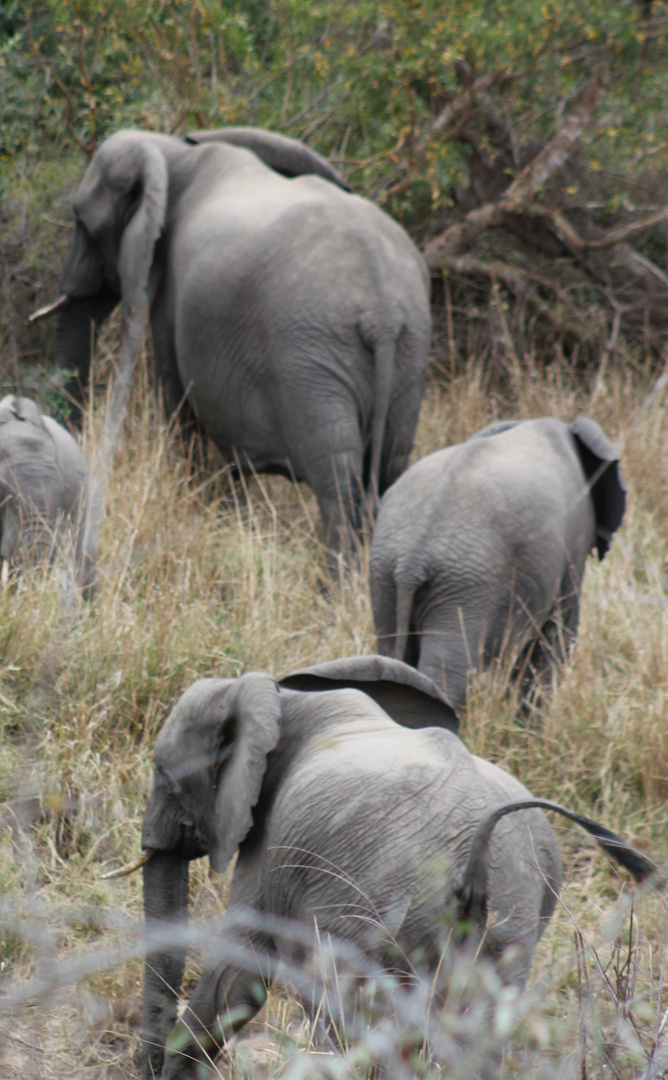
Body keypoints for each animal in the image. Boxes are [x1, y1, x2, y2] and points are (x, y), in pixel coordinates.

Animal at [41, 125, 431, 561]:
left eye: (81, 222)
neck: (172, 152)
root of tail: (382, 311)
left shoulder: (171, 291)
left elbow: (177, 400)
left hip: (311, 358)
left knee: (338, 481)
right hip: (409, 353)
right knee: (389, 469)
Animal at [104, 652, 651, 1075]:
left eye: (162, 774)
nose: (143, 1066)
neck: (283, 696)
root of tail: (475, 848)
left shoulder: (271, 841)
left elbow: (237, 972)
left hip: (385, 910)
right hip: (513, 912)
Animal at [371, 414, 625, 708]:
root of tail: (411, 559)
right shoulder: (573, 545)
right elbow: (557, 633)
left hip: (387, 576)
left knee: (391, 657)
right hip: (465, 586)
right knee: (448, 674)